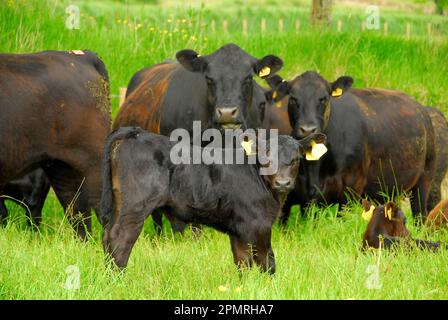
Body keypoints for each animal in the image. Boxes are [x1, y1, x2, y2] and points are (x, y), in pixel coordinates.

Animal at [101, 126, 326, 272]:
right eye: (266, 158)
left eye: (295, 159)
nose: (283, 183)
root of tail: (135, 133)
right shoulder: (258, 224)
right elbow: (267, 261)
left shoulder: (238, 228)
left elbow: (243, 262)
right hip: (135, 207)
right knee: (120, 239)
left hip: (119, 204)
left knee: (107, 236)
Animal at [268, 72, 440, 222]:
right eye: (293, 98)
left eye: (324, 98)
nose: (308, 129)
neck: (315, 168)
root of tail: (421, 108)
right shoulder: (303, 196)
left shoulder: (350, 191)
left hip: (424, 181)